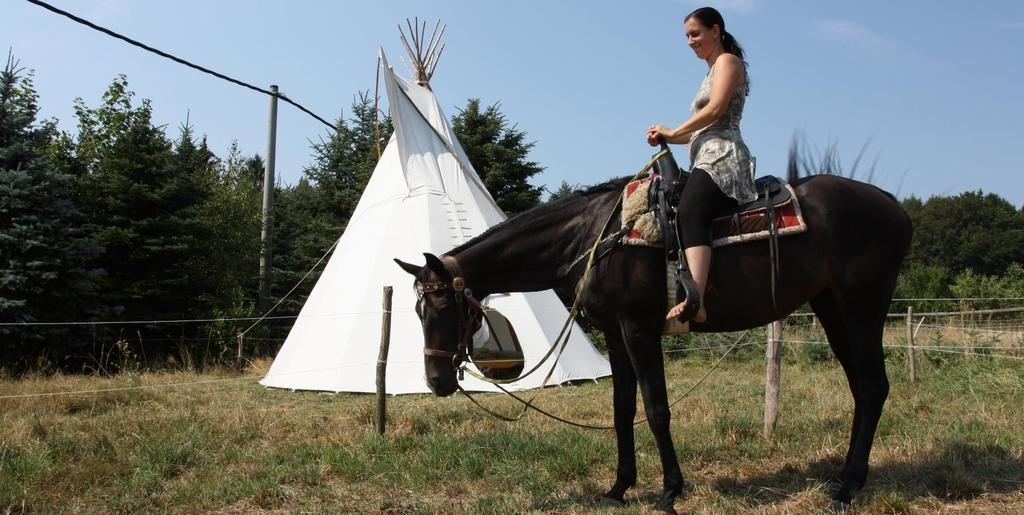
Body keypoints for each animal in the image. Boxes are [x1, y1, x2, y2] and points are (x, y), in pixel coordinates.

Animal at [397, 159, 913, 513]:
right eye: (418, 309)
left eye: (442, 306)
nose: (436, 380)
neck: (595, 237)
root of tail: (892, 204)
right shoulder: (614, 332)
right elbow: (623, 409)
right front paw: (618, 487)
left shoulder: (638, 328)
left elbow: (656, 407)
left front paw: (669, 490)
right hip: (831, 306)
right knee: (862, 388)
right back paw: (847, 480)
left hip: (862, 306)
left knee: (872, 386)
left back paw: (846, 488)